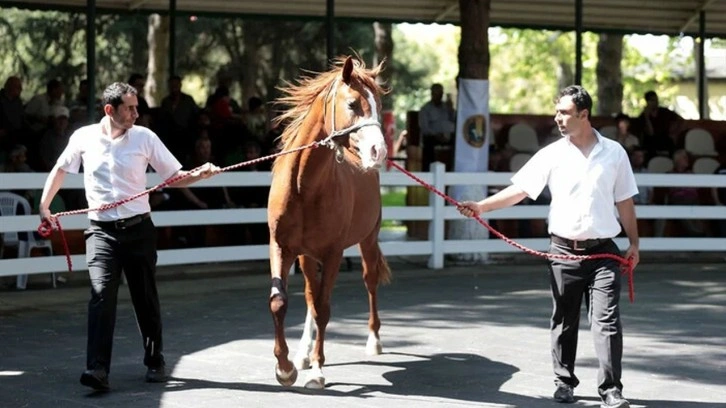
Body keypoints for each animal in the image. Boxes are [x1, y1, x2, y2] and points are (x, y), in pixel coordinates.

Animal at [268, 56, 392, 388]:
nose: (379, 152)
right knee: (311, 297)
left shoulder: (334, 253)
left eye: (378, 105)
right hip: (308, 258)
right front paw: (286, 367)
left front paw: (317, 370)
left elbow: (323, 309)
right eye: (352, 104)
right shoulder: (282, 247)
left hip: (368, 241)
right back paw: (302, 353)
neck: (304, 186)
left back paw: (374, 341)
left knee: (369, 282)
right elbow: (281, 302)